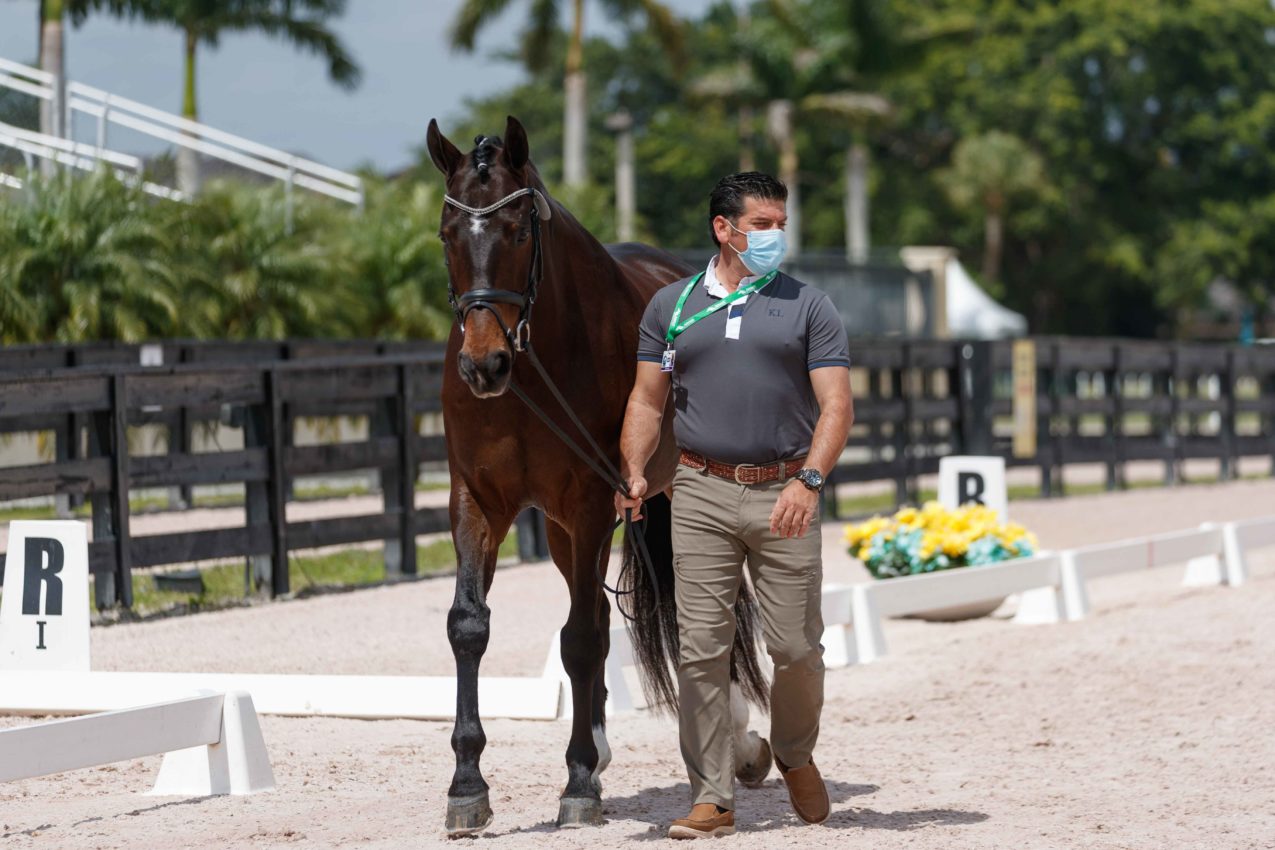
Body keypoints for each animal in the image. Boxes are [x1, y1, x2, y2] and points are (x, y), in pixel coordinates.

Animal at [428, 114, 770, 835]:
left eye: (518, 231)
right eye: (448, 234)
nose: (483, 365)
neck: (535, 365)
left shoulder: (589, 502)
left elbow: (581, 638)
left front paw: (579, 782)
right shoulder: (477, 502)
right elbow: (469, 626)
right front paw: (467, 786)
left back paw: (737, 742)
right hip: (563, 530)